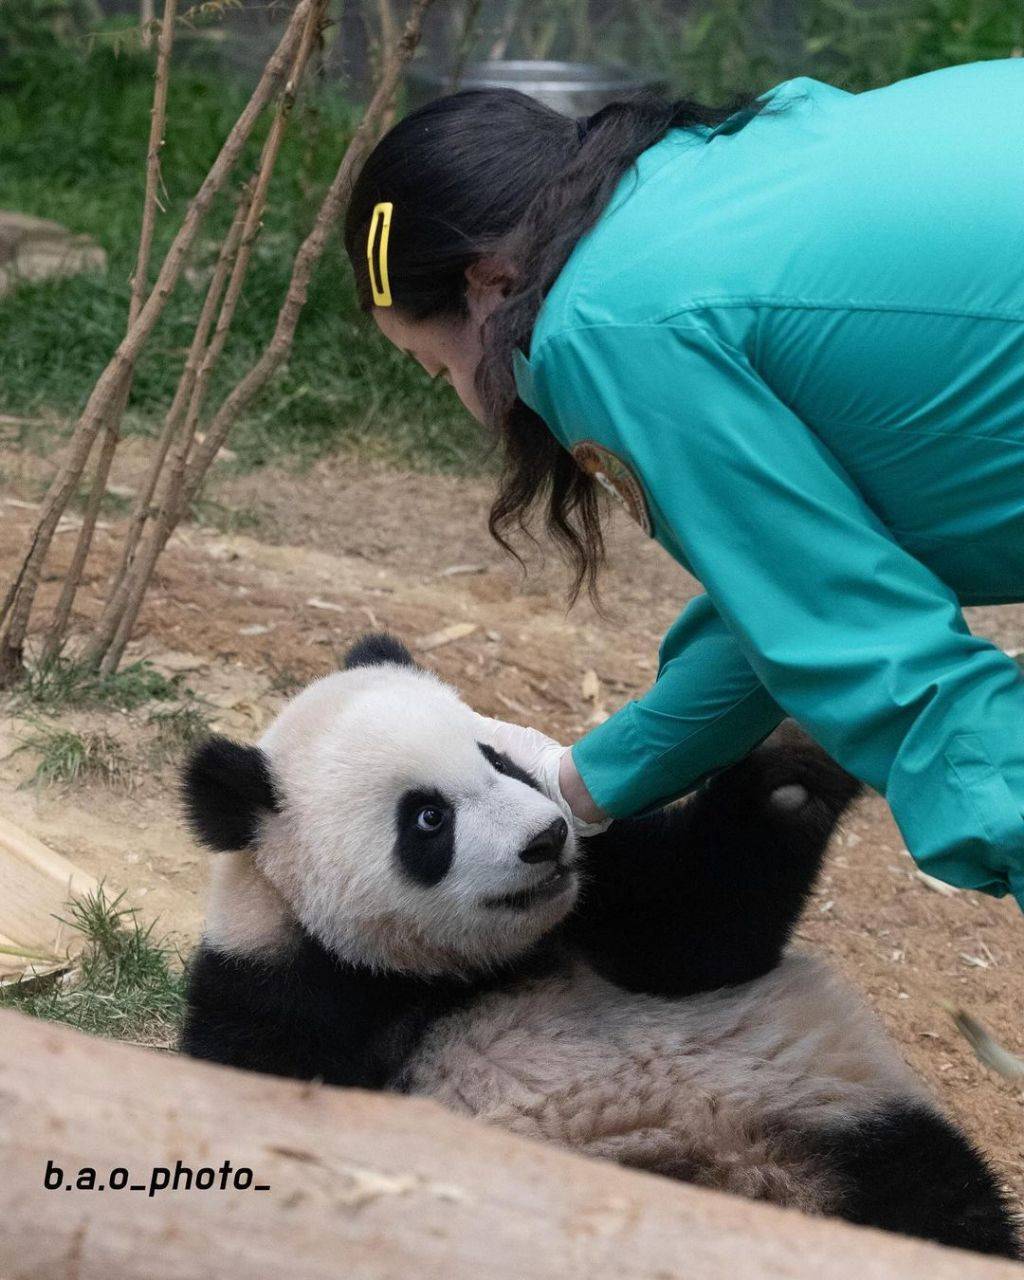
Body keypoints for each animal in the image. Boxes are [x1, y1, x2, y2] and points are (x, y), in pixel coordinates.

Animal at [180, 634, 1018, 1254]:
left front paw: (796, 751)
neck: (447, 972)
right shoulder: (278, 994)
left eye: (499, 760)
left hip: (825, 1119)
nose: (546, 839)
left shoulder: (601, 891)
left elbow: (700, 937)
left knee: (940, 1203)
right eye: (427, 819)